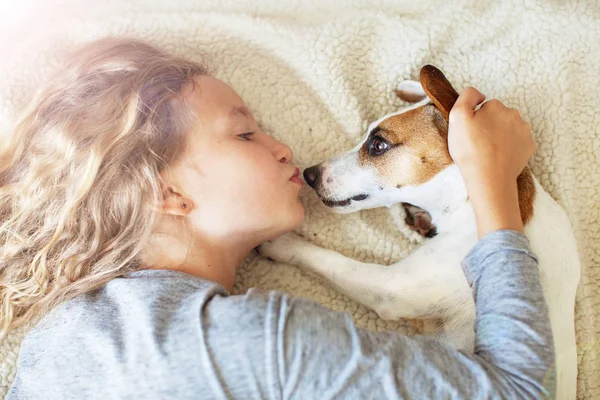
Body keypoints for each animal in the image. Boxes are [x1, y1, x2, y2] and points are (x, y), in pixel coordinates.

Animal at [258, 65, 580, 400]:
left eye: (379, 145)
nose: (309, 174)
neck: (469, 201)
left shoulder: (391, 288)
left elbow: (330, 260)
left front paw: (279, 241)